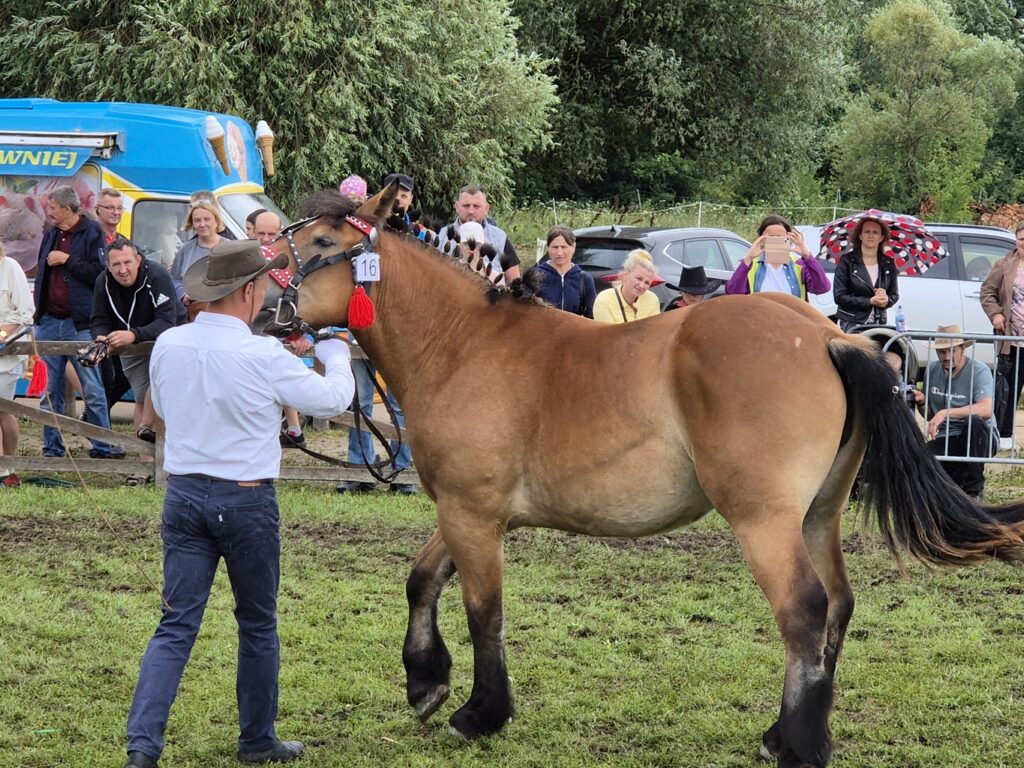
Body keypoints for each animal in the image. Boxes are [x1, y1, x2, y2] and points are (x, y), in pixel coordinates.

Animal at [258, 188, 1024, 768]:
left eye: (319, 241)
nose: (259, 301)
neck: (462, 344)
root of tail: (829, 336)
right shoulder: (466, 508)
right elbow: (422, 580)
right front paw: (425, 683)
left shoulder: (473, 514)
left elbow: (484, 612)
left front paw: (481, 712)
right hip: (817, 515)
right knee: (837, 605)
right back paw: (785, 730)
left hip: (765, 520)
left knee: (804, 611)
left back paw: (800, 746)